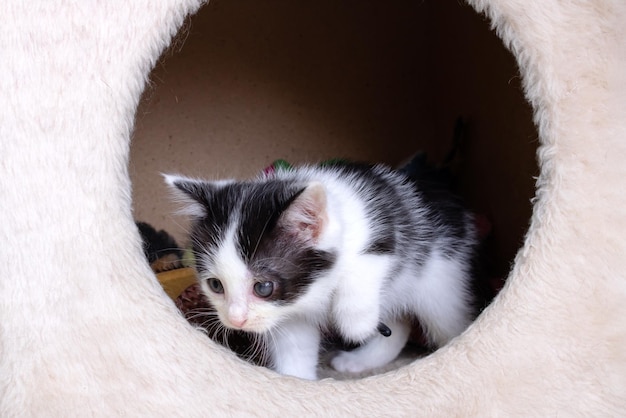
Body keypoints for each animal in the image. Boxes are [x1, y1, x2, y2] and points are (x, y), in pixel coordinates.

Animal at [165, 162, 478, 380]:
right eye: (215, 285)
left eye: (263, 287)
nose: (236, 320)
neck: (313, 291)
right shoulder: (287, 316)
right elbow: (294, 348)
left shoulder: (381, 233)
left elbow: (364, 262)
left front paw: (355, 324)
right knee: (400, 324)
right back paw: (360, 360)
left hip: (440, 282)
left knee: (450, 323)